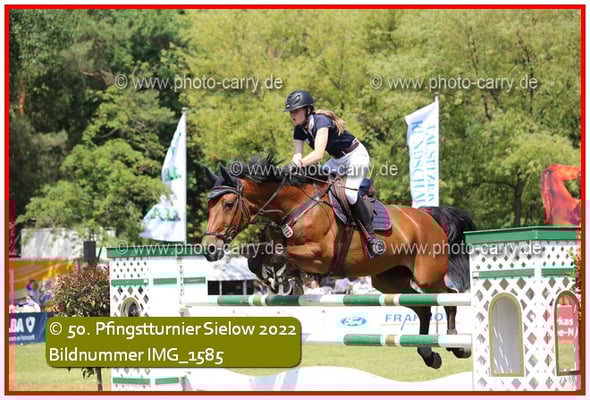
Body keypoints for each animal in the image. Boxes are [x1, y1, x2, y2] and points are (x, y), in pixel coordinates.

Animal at [202, 154, 476, 369]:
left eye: (228, 204)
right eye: (209, 206)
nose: (209, 249)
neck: (294, 206)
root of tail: (427, 216)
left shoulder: (319, 256)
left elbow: (279, 253)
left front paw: (279, 277)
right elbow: (259, 256)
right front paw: (284, 280)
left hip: (427, 275)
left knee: (448, 297)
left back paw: (457, 345)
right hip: (388, 280)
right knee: (423, 307)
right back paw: (428, 354)